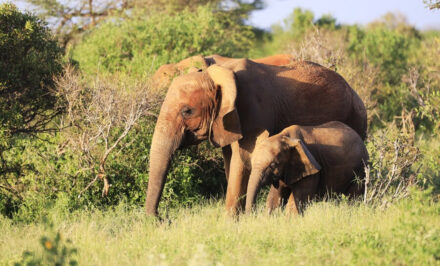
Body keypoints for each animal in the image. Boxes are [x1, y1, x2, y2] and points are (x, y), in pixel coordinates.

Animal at [146, 58, 366, 216]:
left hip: (356, 118)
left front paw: (233, 222)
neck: (218, 74)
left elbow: (242, 161)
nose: (163, 220)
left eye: (187, 111)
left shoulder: (254, 110)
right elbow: (231, 161)